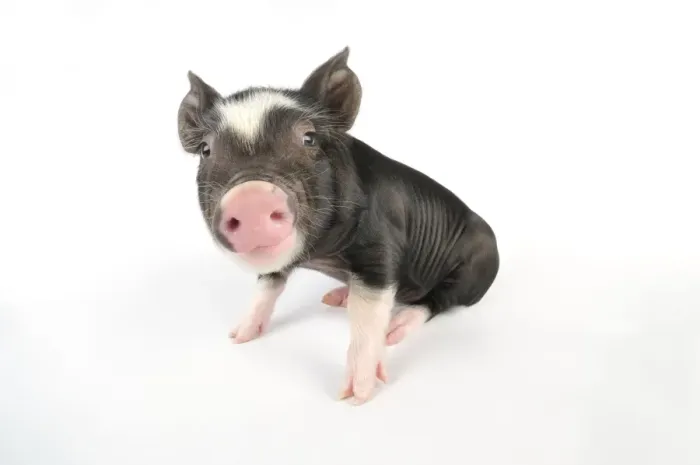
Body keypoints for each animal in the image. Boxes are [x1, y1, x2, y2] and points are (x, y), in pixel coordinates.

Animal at [176, 46, 500, 404]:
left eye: (309, 138)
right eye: (206, 150)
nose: (251, 198)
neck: (320, 254)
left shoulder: (381, 242)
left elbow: (368, 315)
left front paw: (356, 394)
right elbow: (267, 287)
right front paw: (238, 336)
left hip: (474, 272)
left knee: (437, 301)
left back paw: (395, 328)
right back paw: (336, 297)